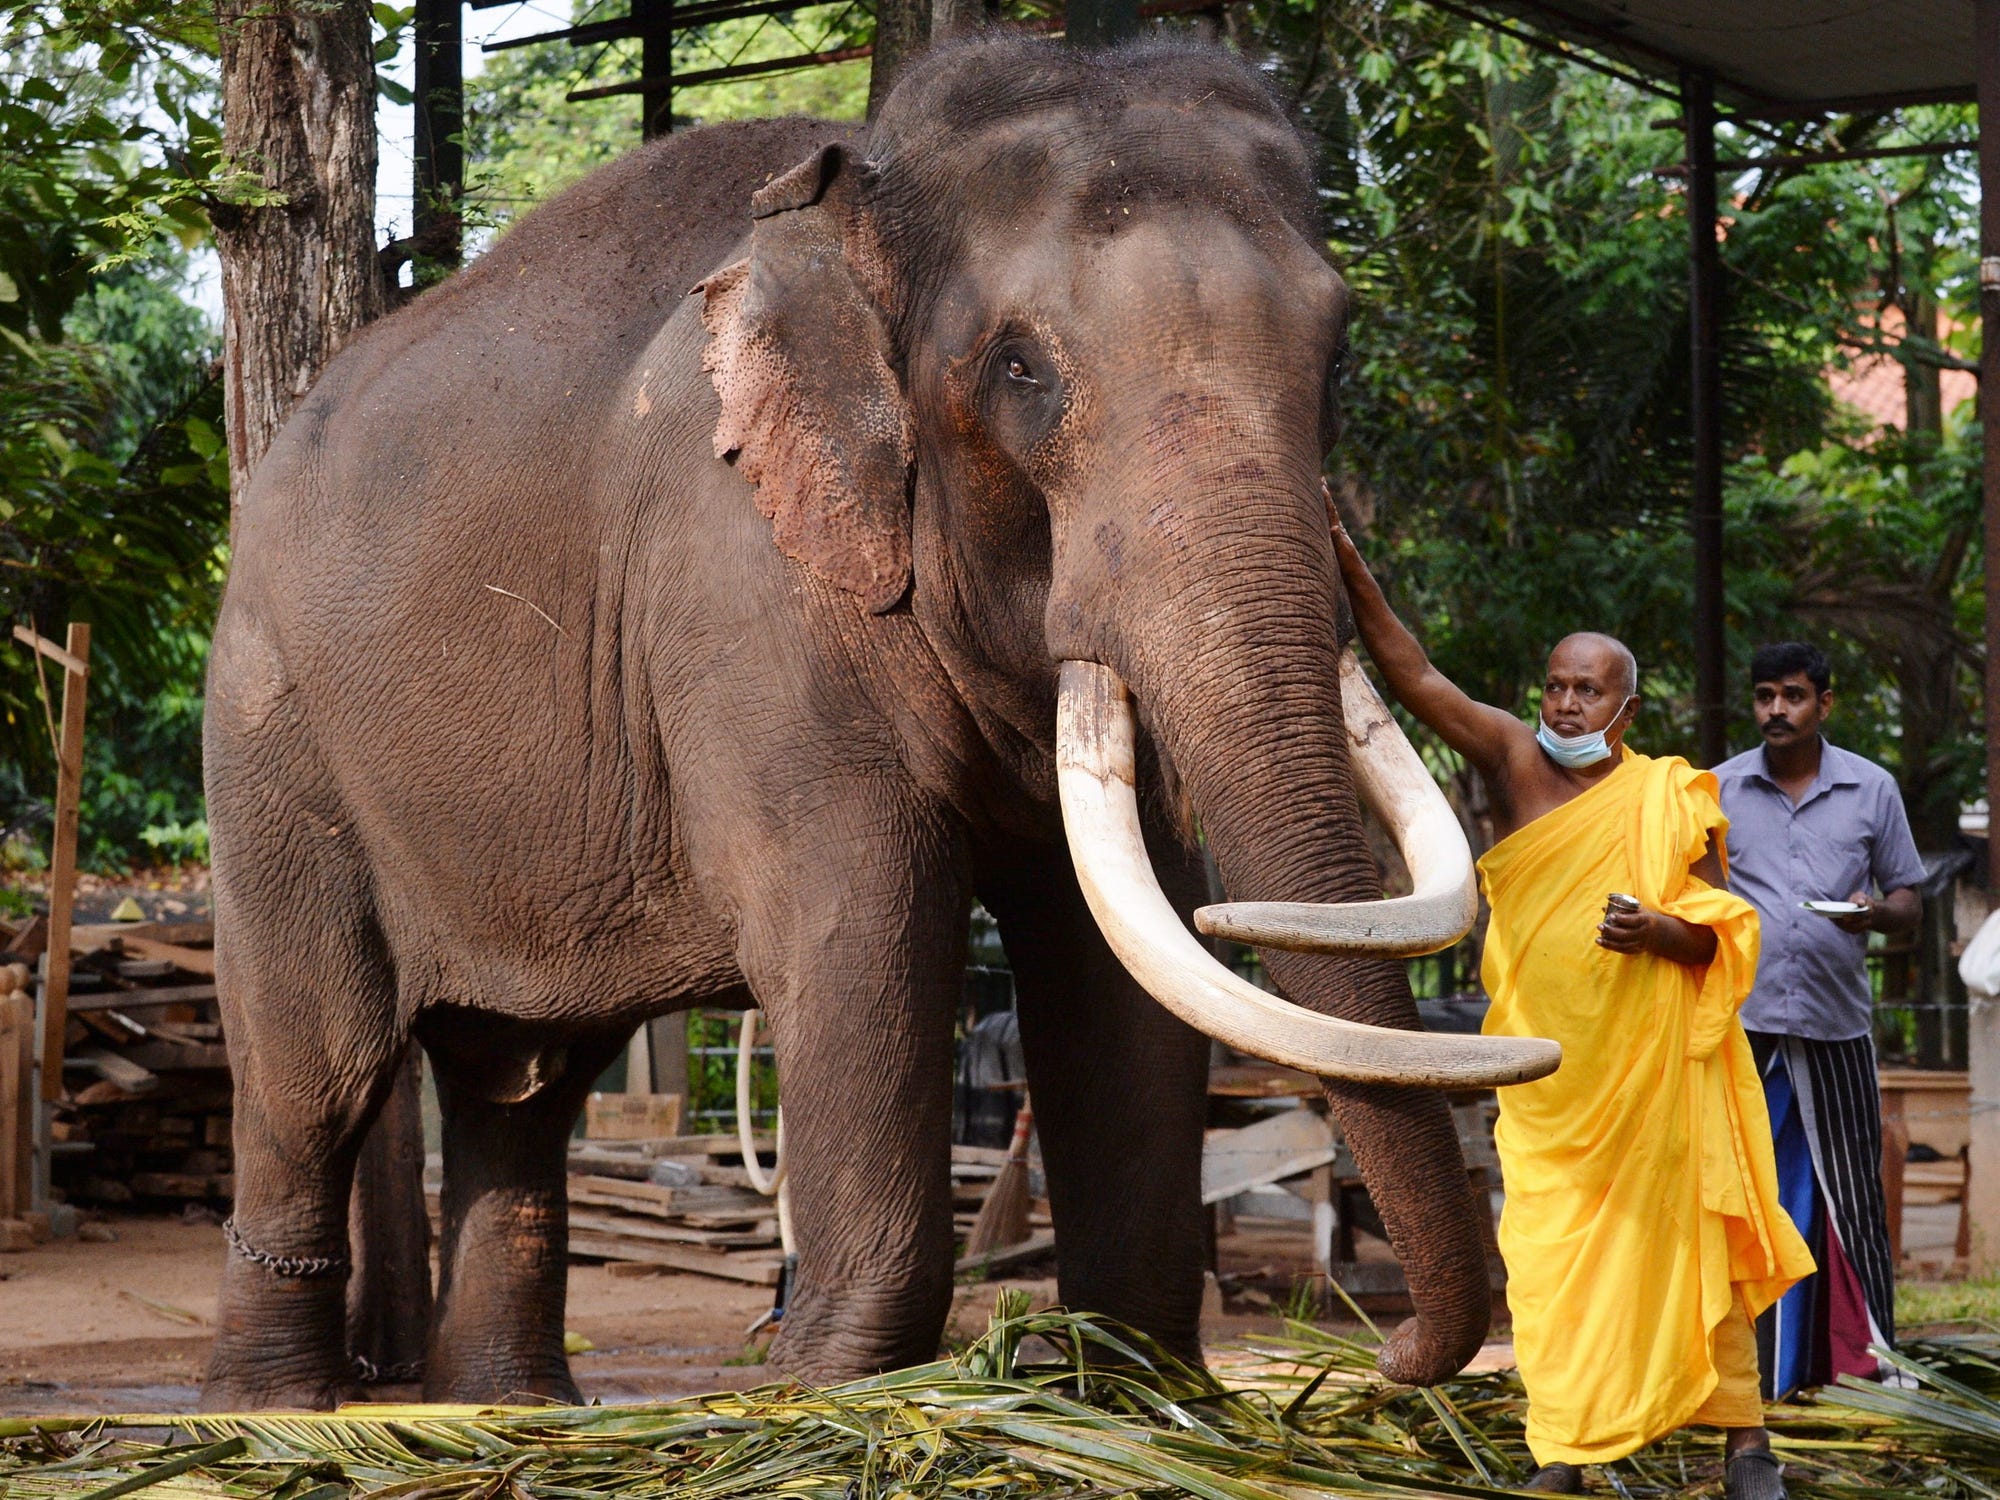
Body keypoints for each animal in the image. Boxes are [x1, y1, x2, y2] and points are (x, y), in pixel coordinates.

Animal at [201, 31, 1556, 1410]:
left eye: (1334, 354)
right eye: (1019, 369)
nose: (1388, 1352)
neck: (861, 194)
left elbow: (1115, 953)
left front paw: (1134, 1394)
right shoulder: (740, 598)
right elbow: (865, 918)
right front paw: (819, 1398)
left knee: (522, 1081)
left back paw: (510, 1411)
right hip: (269, 732)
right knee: (318, 1074)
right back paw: (268, 1414)